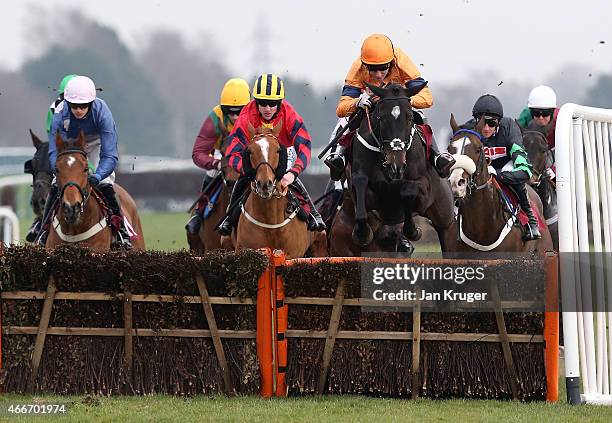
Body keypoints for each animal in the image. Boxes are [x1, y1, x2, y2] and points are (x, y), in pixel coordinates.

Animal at [346, 83, 456, 255]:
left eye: (410, 117)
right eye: (381, 118)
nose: (395, 165)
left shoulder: (425, 188)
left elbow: (408, 190)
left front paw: (414, 231)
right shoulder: (358, 182)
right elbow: (360, 183)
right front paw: (363, 233)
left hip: (446, 221)